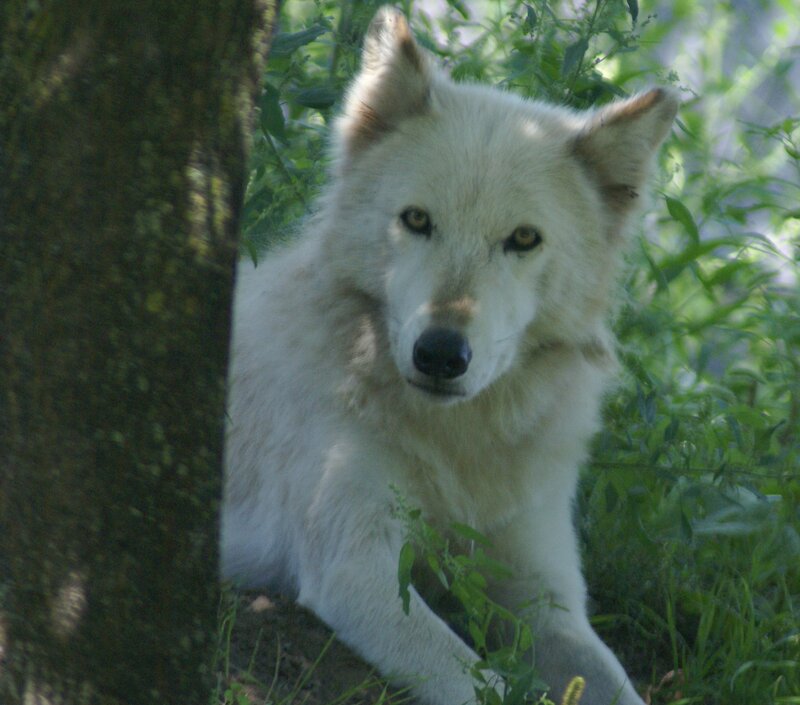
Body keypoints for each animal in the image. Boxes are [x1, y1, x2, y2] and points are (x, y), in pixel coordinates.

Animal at [222, 7, 678, 705]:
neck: (459, 445)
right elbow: (477, 682)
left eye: (523, 239)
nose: (440, 353)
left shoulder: (548, 599)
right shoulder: (359, 569)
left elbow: (610, 682)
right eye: (416, 220)